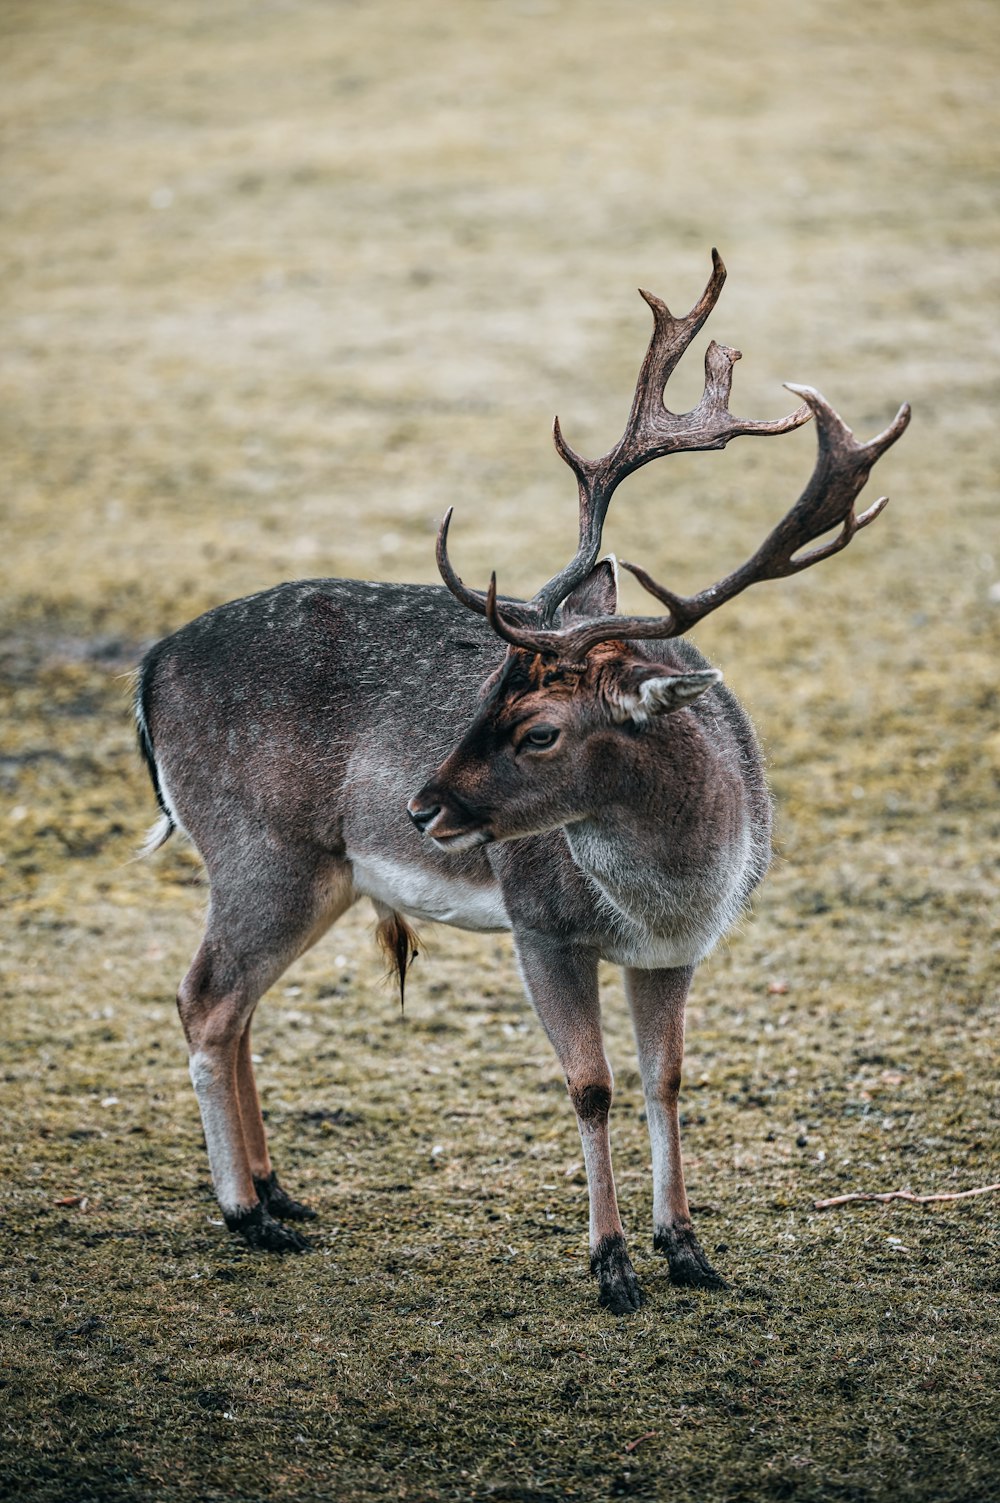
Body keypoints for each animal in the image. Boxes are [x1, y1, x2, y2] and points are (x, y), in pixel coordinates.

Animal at [132, 255, 902, 1316]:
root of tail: (148, 668)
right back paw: (246, 1214)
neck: (672, 890)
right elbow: (592, 1085)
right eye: (486, 686)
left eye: (538, 726)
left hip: (321, 874)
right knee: (204, 996)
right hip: (258, 848)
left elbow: (666, 1079)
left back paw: (281, 1192)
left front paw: (688, 1249)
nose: (421, 805)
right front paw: (612, 1264)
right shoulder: (540, 925)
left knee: (237, 1003)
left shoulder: (681, 949)